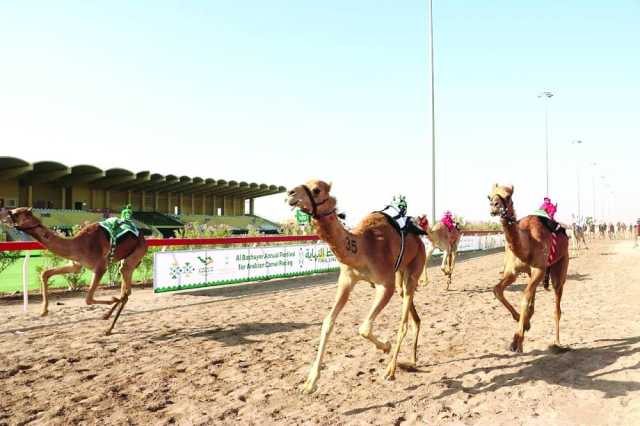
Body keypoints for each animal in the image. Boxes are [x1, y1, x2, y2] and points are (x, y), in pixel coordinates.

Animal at [0, 208, 148, 334]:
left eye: (15, 213)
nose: (5, 213)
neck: (78, 245)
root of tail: (142, 237)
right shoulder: (76, 265)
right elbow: (45, 273)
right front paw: (44, 311)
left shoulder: (100, 267)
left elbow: (88, 299)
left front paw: (112, 299)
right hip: (126, 260)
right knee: (126, 291)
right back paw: (107, 319)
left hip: (135, 254)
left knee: (125, 290)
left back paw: (109, 325)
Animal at [284, 179, 424, 392]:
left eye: (317, 190)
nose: (290, 193)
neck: (362, 246)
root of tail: (420, 238)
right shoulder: (346, 280)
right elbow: (327, 323)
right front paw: (310, 382)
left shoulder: (385, 284)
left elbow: (364, 328)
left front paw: (386, 346)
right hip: (401, 274)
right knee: (414, 316)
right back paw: (412, 360)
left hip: (415, 268)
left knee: (404, 322)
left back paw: (391, 369)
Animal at [490, 185, 568, 352]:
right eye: (489, 196)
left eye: (508, 196)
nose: (494, 206)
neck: (527, 244)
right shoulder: (513, 271)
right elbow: (497, 290)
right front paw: (521, 322)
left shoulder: (540, 269)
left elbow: (524, 299)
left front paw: (517, 340)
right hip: (531, 273)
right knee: (532, 298)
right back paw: (527, 321)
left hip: (561, 263)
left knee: (557, 304)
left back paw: (557, 342)